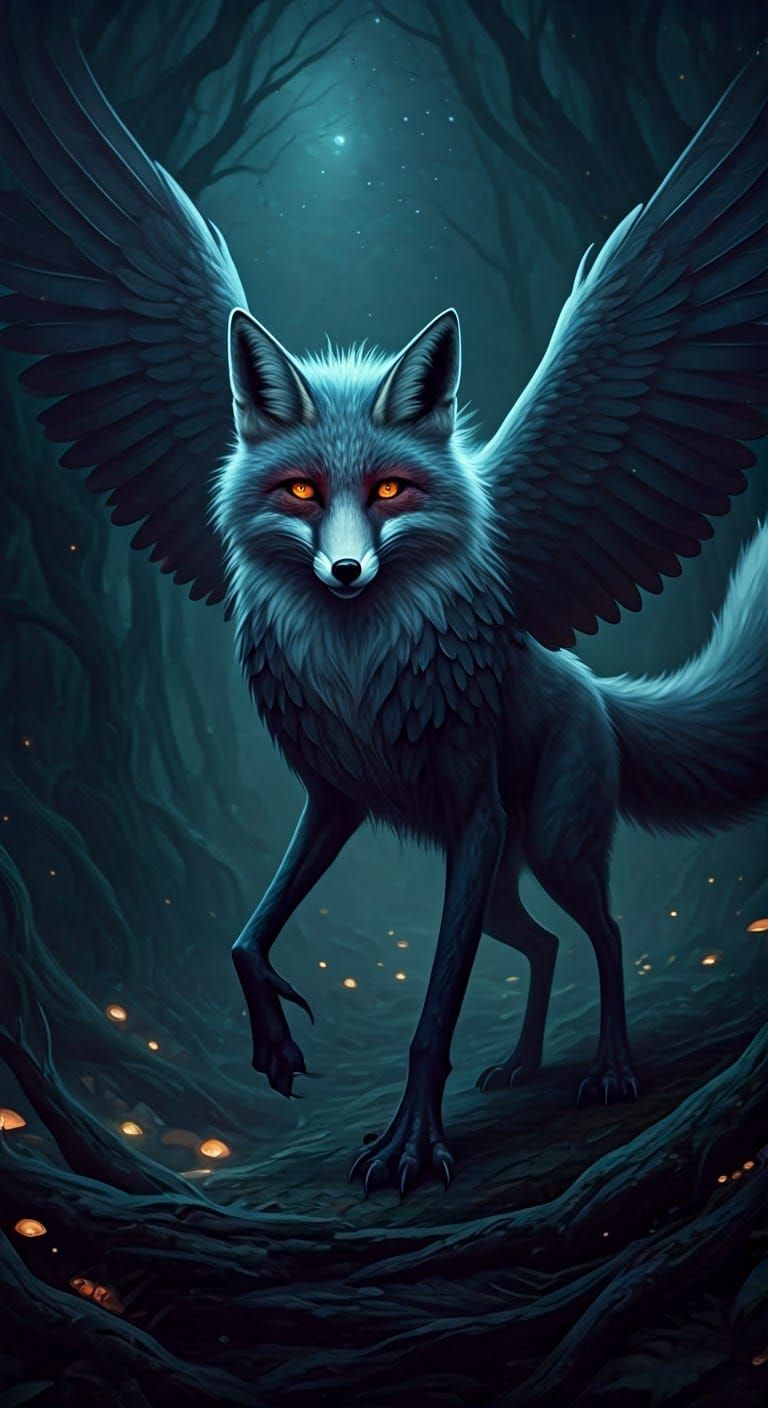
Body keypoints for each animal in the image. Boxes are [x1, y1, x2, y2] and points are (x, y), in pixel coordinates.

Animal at [0, 18, 766, 1194]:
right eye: (301, 493)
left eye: (395, 491)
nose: (348, 575)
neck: (358, 664)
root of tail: (594, 686)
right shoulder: (337, 796)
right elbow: (247, 935)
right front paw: (276, 1043)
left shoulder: (468, 812)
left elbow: (431, 1014)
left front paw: (412, 1144)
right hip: (500, 877)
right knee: (547, 942)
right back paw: (527, 1064)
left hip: (540, 844)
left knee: (606, 933)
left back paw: (608, 1071)